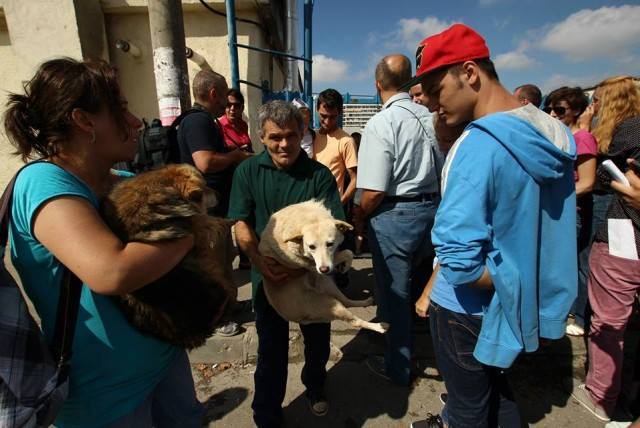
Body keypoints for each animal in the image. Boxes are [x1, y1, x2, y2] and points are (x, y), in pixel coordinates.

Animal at [102, 164, 235, 348]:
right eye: (204, 188)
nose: (220, 195)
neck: (162, 185)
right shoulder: (195, 225)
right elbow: (205, 221)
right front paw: (224, 222)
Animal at [258, 201, 388, 334]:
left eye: (330, 244)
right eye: (311, 247)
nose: (324, 270)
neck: (308, 218)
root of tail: (298, 319)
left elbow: (348, 252)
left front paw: (344, 266)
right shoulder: (311, 265)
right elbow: (347, 252)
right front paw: (345, 266)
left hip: (329, 286)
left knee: (346, 301)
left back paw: (365, 302)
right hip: (330, 304)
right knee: (354, 321)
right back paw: (380, 327)